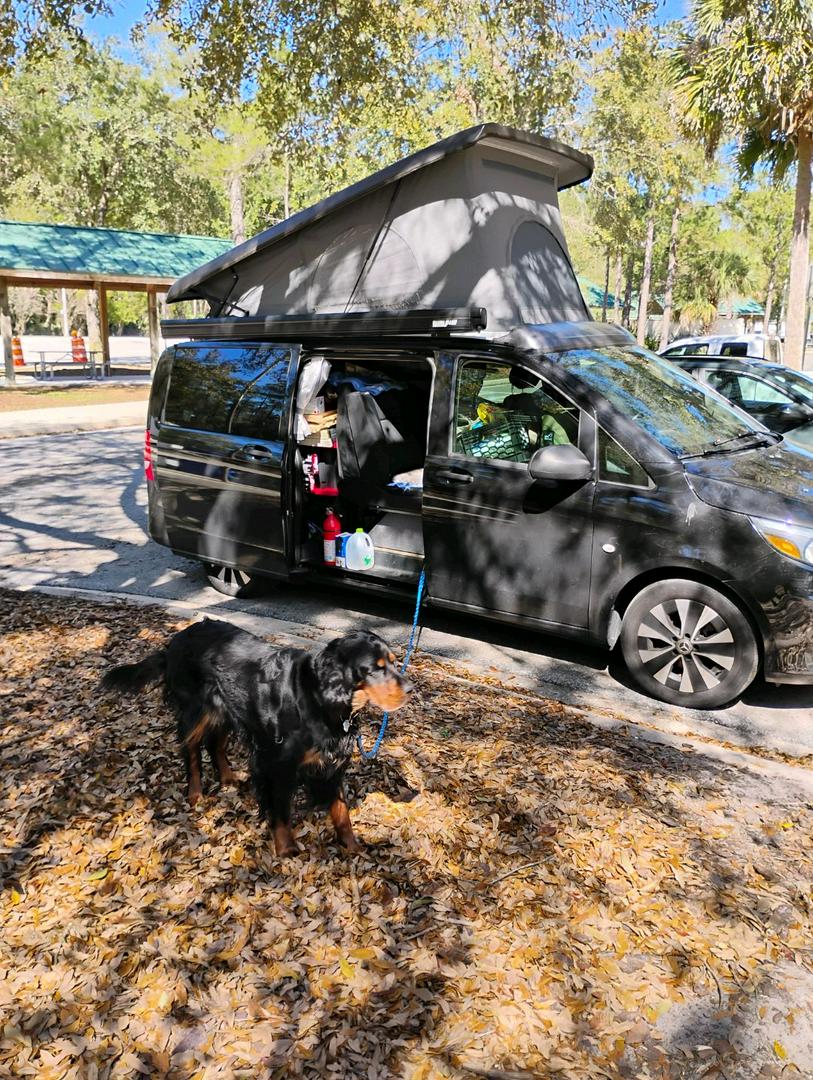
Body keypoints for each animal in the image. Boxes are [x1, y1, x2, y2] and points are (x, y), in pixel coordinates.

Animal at [101, 619, 412, 855]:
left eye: (394, 662)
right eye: (376, 668)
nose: (410, 688)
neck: (321, 695)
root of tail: (176, 640)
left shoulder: (331, 762)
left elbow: (341, 810)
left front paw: (352, 846)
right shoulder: (279, 764)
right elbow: (282, 809)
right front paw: (286, 848)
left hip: (226, 709)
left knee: (215, 744)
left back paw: (228, 777)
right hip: (196, 710)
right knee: (191, 749)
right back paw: (195, 792)